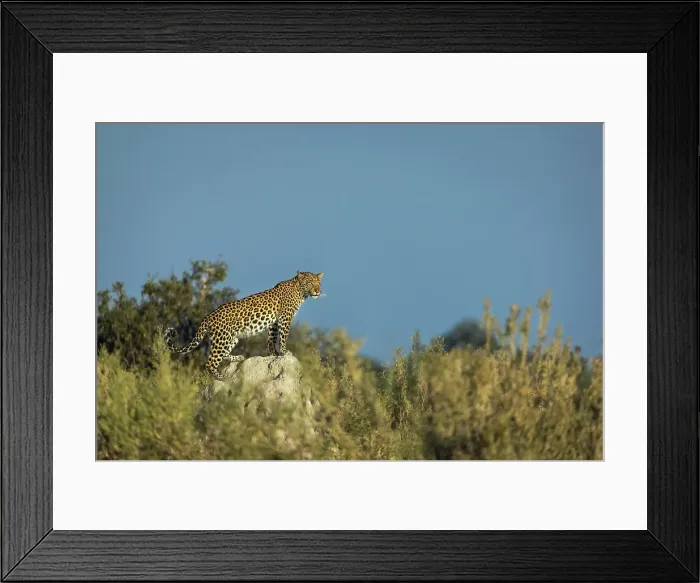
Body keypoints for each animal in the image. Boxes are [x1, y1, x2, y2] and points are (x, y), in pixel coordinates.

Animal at [163, 271, 323, 380]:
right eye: (310, 282)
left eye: (318, 283)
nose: (317, 291)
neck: (300, 291)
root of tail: (208, 316)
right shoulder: (285, 318)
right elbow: (283, 336)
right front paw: (284, 352)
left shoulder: (274, 322)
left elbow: (272, 338)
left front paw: (273, 354)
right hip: (222, 339)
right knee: (211, 362)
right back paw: (221, 378)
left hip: (230, 338)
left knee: (223, 355)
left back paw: (237, 358)